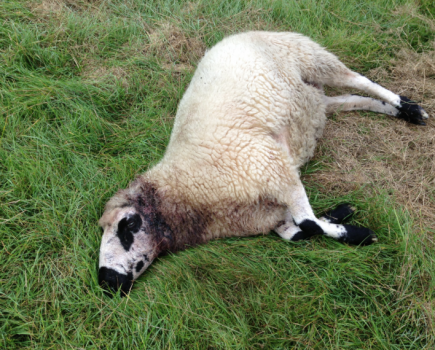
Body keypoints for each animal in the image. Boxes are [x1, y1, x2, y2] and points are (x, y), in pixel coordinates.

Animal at [98, 32, 430, 296]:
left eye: (127, 226)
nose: (106, 282)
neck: (193, 186)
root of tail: (237, 34)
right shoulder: (270, 209)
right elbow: (300, 231)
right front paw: (341, 215)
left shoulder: (272, 167)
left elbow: (308, 224)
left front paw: (359, 234)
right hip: (314, 101)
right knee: (354, 99)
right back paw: (400, 111)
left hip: (309, 56)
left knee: (361, 81)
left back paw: (410, 107)